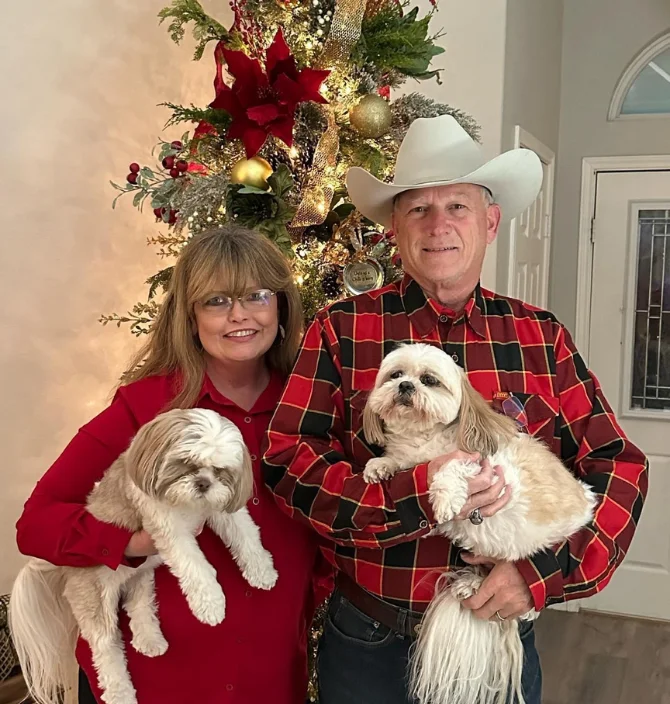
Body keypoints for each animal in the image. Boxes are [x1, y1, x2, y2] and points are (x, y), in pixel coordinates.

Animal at [362, 346, 600, 704]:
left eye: (428, 380)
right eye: (395, 374)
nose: (405, 386)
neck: (424, 440)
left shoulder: (490, 469)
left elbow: (450, 467)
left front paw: (445, 498)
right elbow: (399, 464)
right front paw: (380, 465)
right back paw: (471, 585)